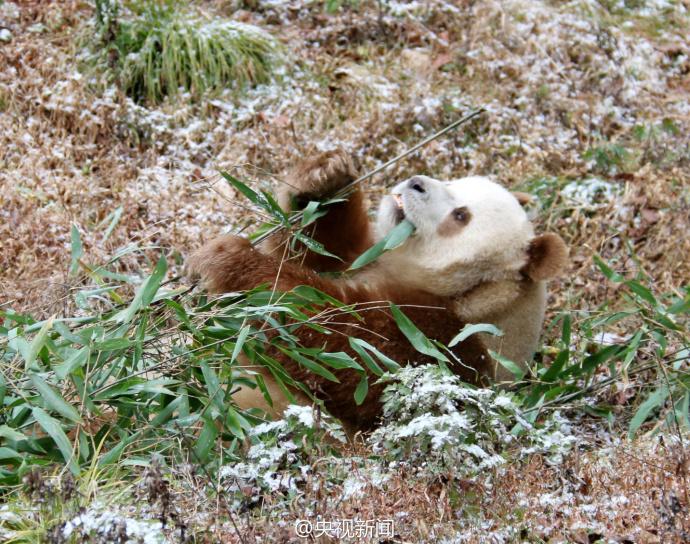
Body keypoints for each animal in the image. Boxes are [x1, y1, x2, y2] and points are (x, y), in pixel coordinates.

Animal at [187, 150, 564, 430]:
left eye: (461, 216)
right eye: (453, 181)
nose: (416, 183)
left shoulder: (445, 344)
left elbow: (343, 348)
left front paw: (231, 261)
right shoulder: (364, 258)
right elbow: (316, 249)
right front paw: (326, 175)